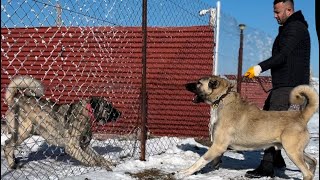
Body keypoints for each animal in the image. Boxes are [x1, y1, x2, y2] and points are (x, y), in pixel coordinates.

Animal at [176, 75, 318, 180]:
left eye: (199, 83)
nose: (184, 85)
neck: (222, 98)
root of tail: (301, 116)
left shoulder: (218, 145)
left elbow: (200, 160)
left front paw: (184, 173)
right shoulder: (218, 147)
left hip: (292, 152)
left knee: (307, 173)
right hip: (297, 151)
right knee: (313, 161)